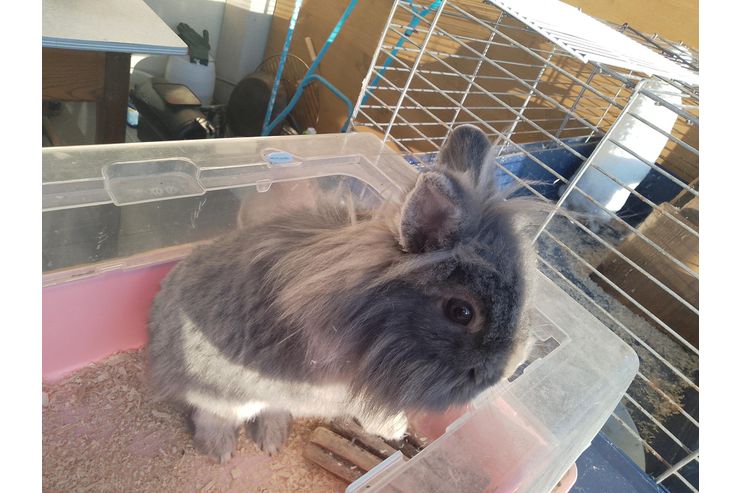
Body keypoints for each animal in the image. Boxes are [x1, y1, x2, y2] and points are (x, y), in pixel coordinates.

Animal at [147, 124, 542, 463]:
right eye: (462, 311)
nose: (505, 373)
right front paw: (395, 428)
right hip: (222, 393)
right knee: (211, 413)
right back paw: (222, 449)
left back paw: (272, 439)